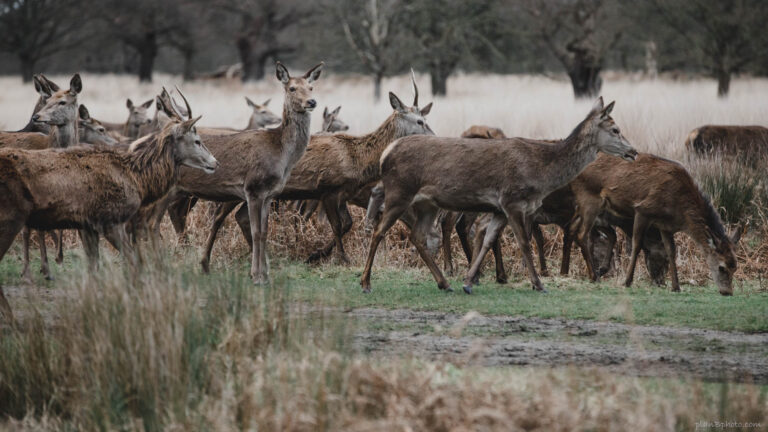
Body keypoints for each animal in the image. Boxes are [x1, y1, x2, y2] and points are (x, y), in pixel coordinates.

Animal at [0, 104, 218, 320]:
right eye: (197, 141)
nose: (215, 163)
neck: (138, 181)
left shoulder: (87, 225)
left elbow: (93, 266)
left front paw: (90, 307)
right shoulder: (111, 220)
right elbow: (133, 262)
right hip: (10, 218)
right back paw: (11, 317)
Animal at [170, 61, 322, 284]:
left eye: (311, 87)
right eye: (292, 88)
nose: (311, 102)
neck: (282, 155)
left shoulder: (269, 194)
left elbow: (265, 232)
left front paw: (264, 275)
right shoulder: (253, 189)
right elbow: (256, 231)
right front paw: (257, 276)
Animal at [360, 97, 636, 294]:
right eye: (615, 129)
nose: (633, 151)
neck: (541, 173)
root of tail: (386, 152)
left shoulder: (499, 209)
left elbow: (489, 239)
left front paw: (468, 281)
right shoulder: (512, 200)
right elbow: (524, 242)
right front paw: (538, 284)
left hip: (427, 203)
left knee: (417, 236)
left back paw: (444, 283)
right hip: (400, 191)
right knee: (379, 230)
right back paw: (365, 283)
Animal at [568, 152, 740, 294]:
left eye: (735, 267)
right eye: (722, 267)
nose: (727, 292)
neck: (679, 211)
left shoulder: (665, 225)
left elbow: (671, 251)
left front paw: (676, 287)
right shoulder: (643, 210)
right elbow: (637, 245)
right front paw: (627, 281)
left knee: (573, 229)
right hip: (590, 199)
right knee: (582, 234)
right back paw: (594, 275)